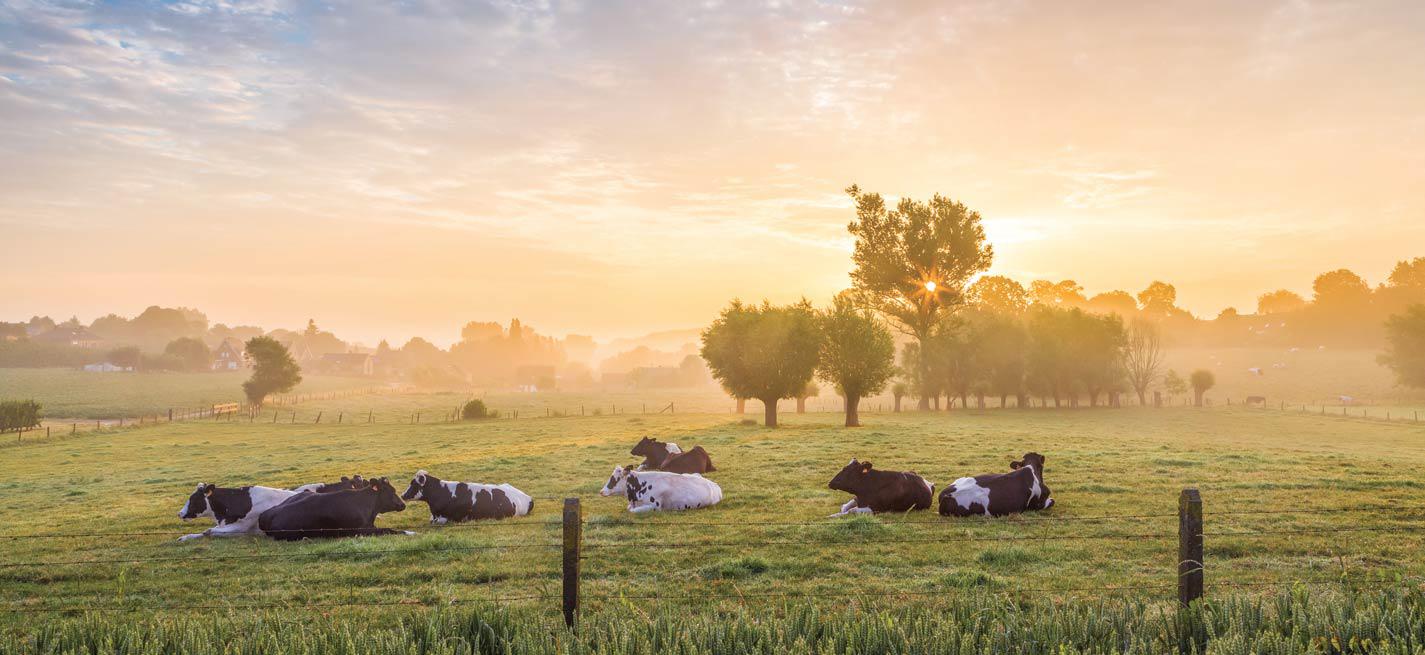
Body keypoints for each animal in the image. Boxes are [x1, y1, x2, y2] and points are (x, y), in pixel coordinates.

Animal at [257, 475, 416, 541]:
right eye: (391, 491)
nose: (403, 504)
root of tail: (267, 514)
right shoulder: (361, 530)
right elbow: (389, 530)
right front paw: (410, 532)